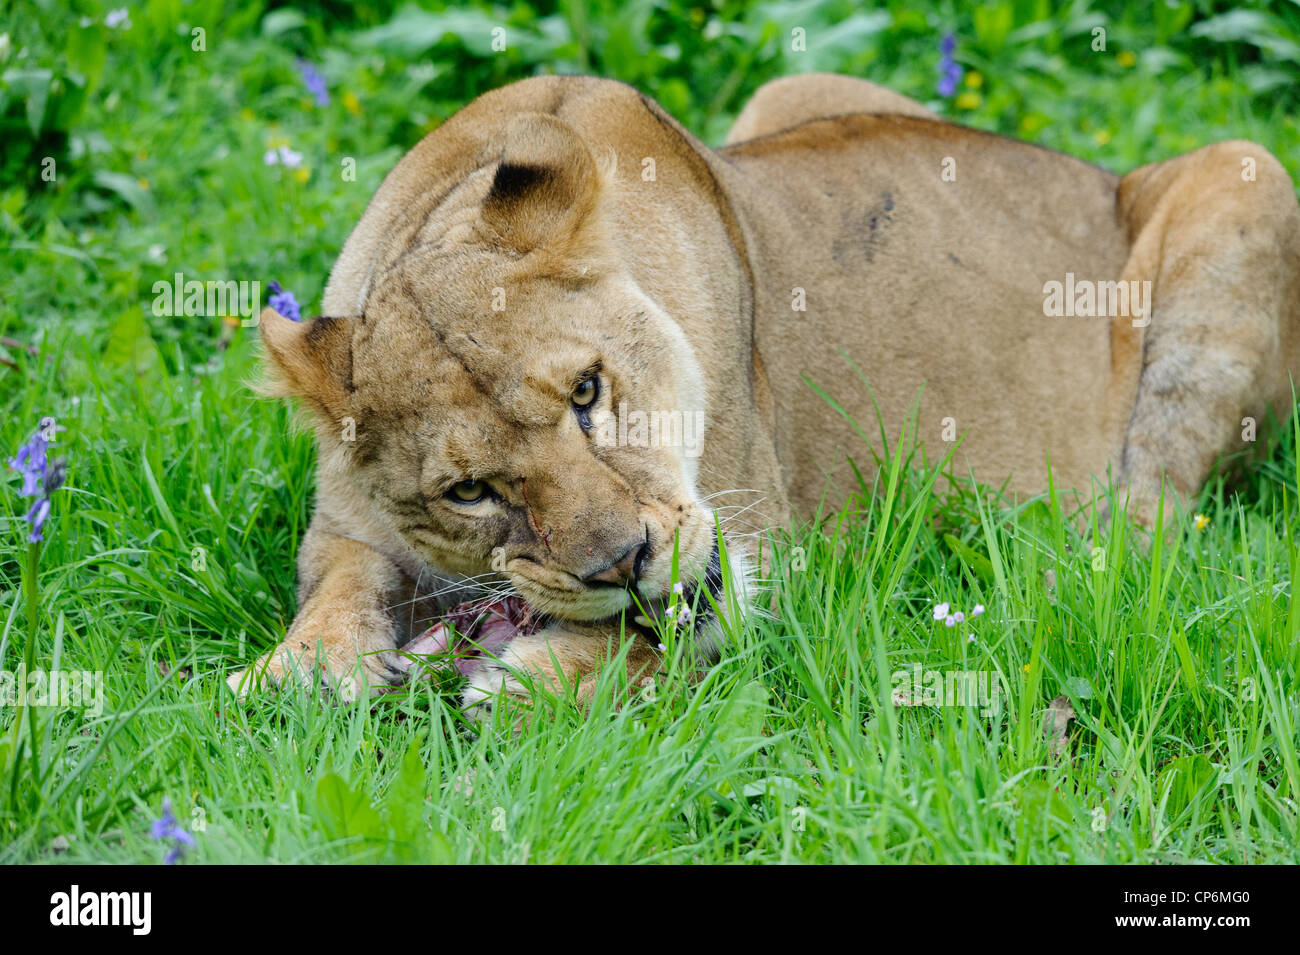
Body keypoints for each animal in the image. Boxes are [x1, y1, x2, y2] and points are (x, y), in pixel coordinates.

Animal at [228, 74, 1300, 716]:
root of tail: (1109, 173)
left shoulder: (769, 555)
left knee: (1147, 528)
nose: (624, 562)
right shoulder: (349, 520)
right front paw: (297, 669)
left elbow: (661, 644)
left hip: (1247, 174)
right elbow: (339, 582)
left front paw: (529, 679)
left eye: (588, 390)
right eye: (470, 492)